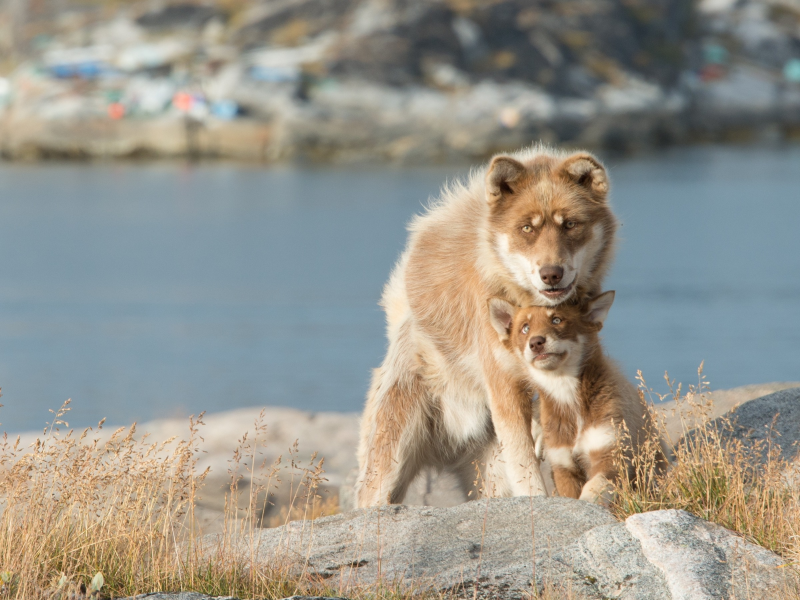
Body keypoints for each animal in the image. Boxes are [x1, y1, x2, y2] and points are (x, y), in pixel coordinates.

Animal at [356, 145, 620, 506]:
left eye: (570, 225)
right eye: (527, 229)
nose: (551, 274)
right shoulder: (503, 385)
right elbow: (526, 469)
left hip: (490, 479)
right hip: (388, 469)